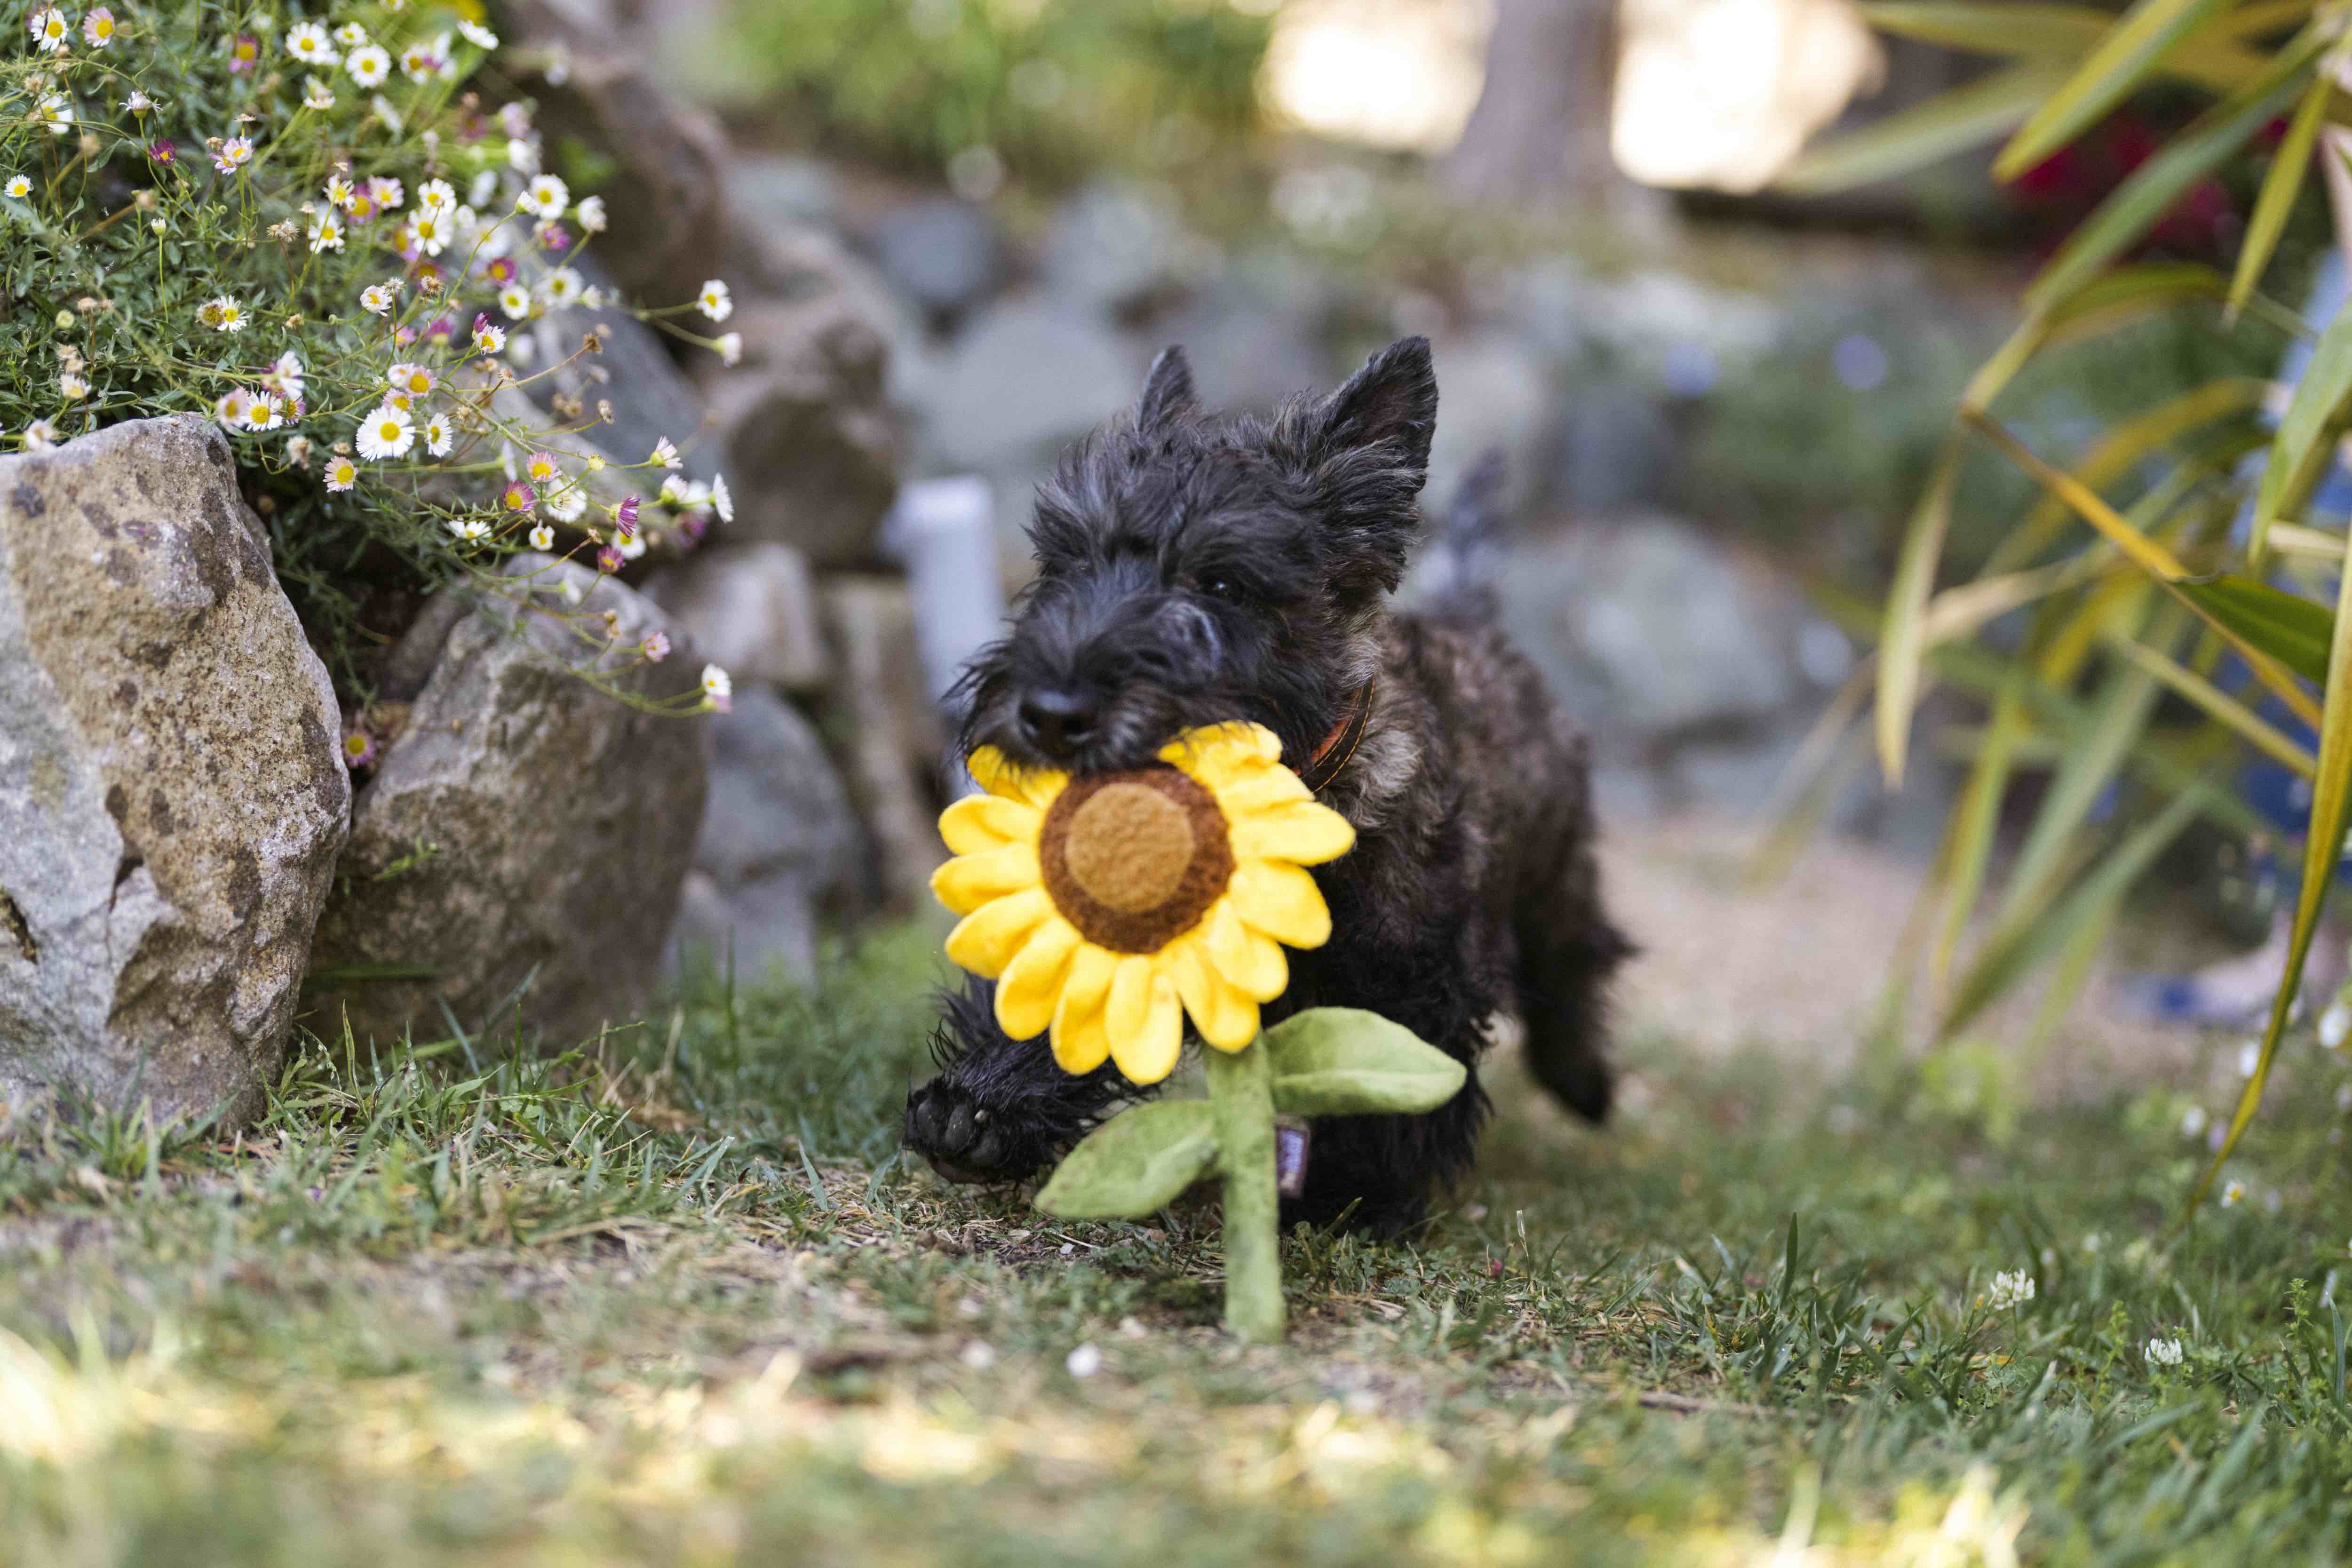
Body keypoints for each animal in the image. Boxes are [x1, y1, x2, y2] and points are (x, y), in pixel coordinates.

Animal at [903, 338, 1637, 1232]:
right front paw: (977, 1111)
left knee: (1579, 954)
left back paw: (1584, 1082)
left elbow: (1389, 1082)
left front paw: (1350, 1194)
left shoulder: (1414, 976)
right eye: (1068, 562)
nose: (1050, 712)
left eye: (1221, 584)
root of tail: (1475, 617)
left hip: (1555, 869)